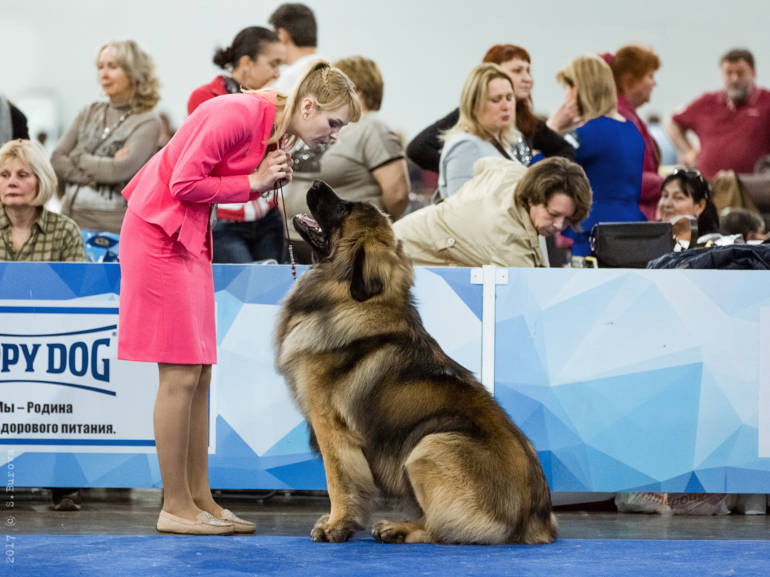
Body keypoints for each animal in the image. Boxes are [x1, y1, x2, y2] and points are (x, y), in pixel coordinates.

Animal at [272, 181, 556, 544]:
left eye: (344, 208)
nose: (317, 184)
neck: (349, 298)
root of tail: (538, 519)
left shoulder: (330, 426)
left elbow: (338, 481)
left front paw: (336, 525)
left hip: (430, 445)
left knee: (439, 528)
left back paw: (398, 529)